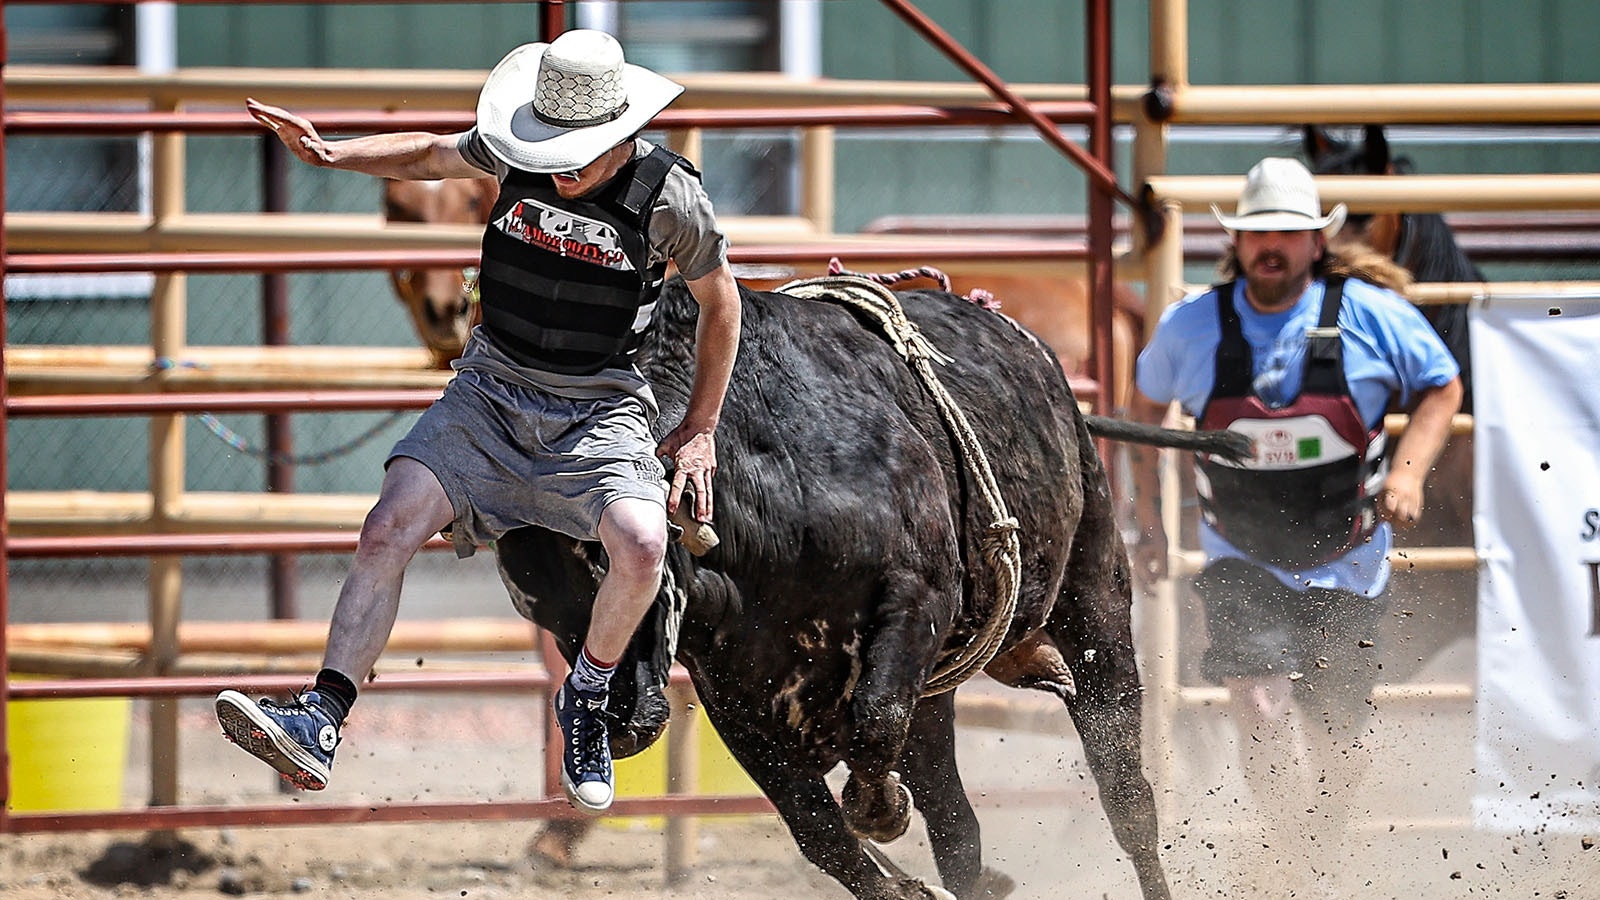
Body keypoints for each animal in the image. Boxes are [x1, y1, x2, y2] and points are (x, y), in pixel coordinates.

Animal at [496, 277, 1222, 890]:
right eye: (543, 613)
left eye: (609, 564)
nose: (612, 725)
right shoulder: (735, 700)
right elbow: (825, 838)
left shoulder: (917, 599)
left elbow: (872, 726)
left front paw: (882, 809)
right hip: (940, 695)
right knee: (958, 831)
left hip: (1094, 604)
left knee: (1127, 795)